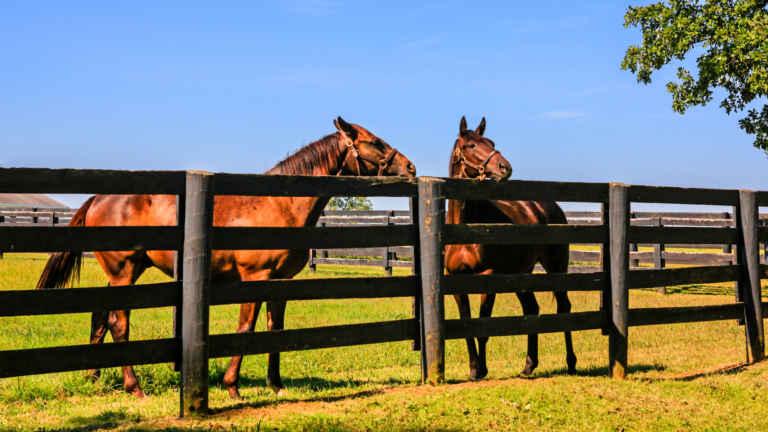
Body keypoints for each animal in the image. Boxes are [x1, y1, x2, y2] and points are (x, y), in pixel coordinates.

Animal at [36, 117, 416, 398]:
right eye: (375, 142)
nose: (411, 167)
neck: (279, 204)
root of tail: (98, 198)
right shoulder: (255, 278)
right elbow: (246, 328)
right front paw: (233, 388)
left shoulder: (281, 282)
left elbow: (274, 329)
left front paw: (276, 386)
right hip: (124, 272)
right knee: (118, 323)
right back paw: (135, 388)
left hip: (122, 274)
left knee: (100, 316)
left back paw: (94, 376)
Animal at [444, 116, 576, 380]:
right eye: (471, 145)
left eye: (491, 142)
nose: (505, 167)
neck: (464, 227)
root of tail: (551, 208)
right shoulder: (455, 279)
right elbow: (466, 325)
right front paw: (473, 370)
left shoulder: (487, 276)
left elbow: (483, 326)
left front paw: (481, 370)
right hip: (521, 273)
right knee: (532, 309)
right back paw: (529, 366)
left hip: (556, 268)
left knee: (564, 308)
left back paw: (571, 363)